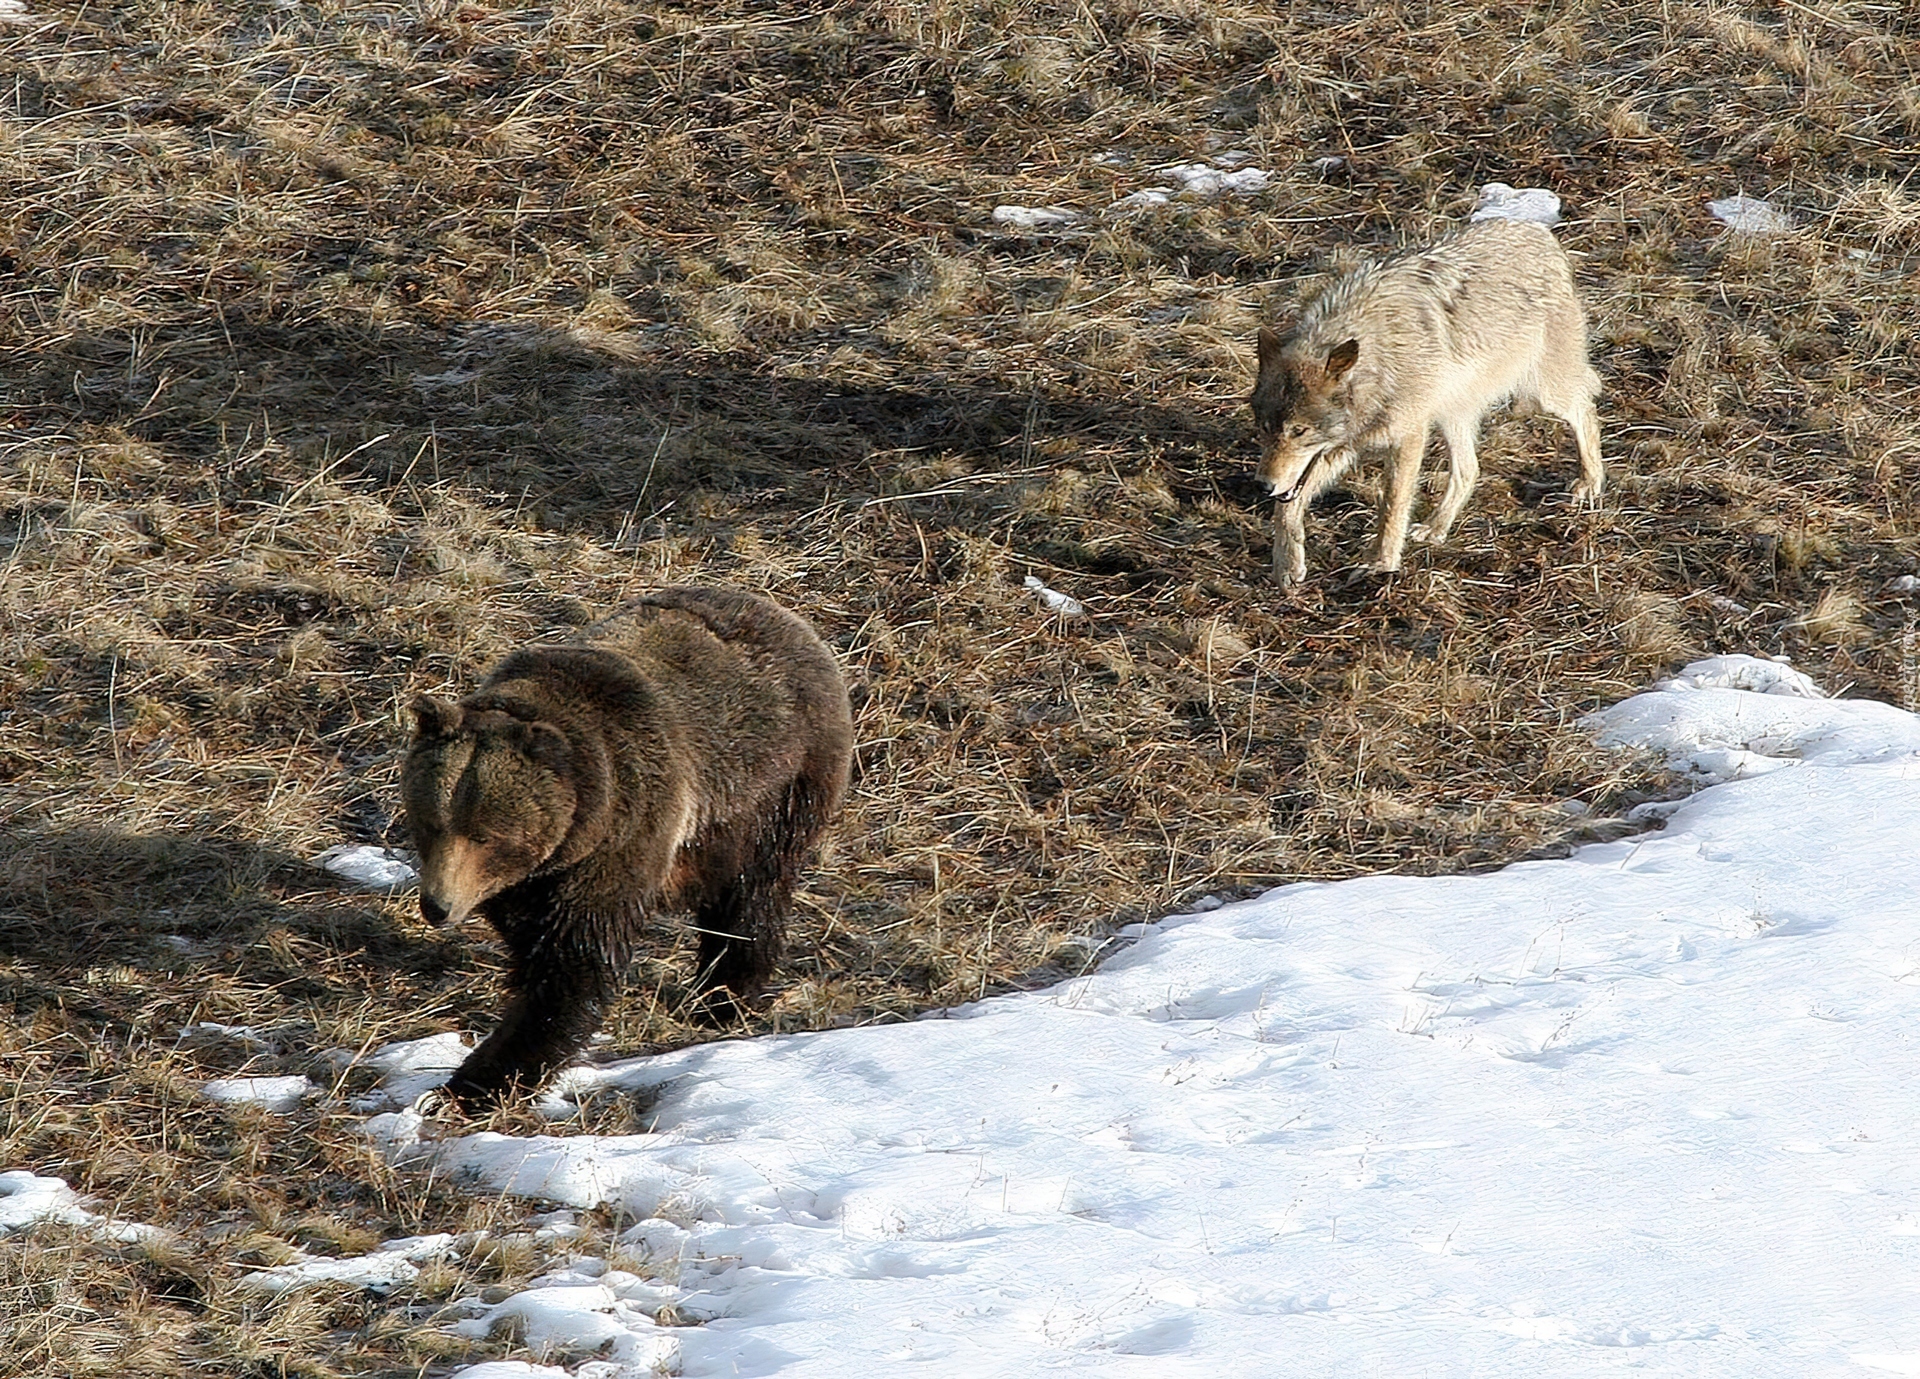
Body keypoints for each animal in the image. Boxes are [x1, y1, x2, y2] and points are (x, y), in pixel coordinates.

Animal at [401, 587, 852, 1113]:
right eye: (430, 822)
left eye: (486, 835)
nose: (437, 905)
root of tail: (790, 619)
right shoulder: (534, 879)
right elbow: (532, 939)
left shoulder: (624, 832)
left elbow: (575, 964)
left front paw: (476, 1081)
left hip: (773, 791)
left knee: (751, 896)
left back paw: (724, 997)